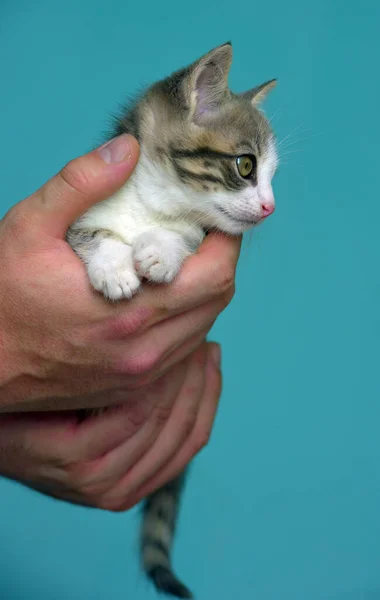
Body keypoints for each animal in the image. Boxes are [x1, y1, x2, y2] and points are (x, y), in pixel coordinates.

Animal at [67, 43, 276, 600]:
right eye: (246, 166)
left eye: (273, 175)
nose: (270, 205)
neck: (153, 205)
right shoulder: (79, 219)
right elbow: (92, 235)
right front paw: (114, 268)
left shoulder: (194, 232)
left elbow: (185, 235)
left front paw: (159, 251)